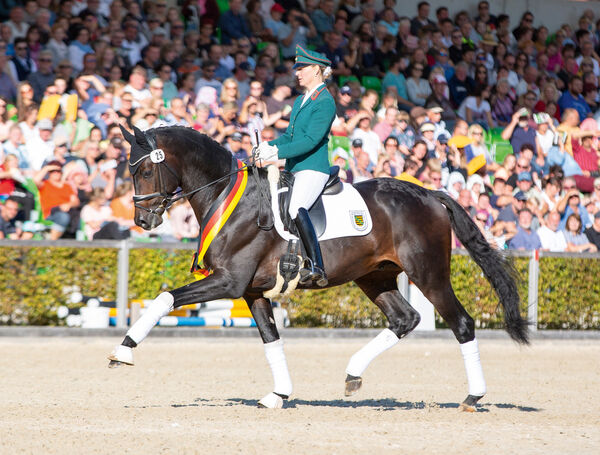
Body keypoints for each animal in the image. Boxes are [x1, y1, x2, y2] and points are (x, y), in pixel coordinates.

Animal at [109, 125, 528, 414]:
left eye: (144, 172)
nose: (142, 220)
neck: (228, 196)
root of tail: (429, 194)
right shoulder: (252, 291)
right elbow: (271, 340)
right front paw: (278, 395)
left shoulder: (229, 283)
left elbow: (165, 298)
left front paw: (122, 351)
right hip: (374, 277)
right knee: (404, 319)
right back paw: (353, 374)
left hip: (428, 274)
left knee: (462, 324)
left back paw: (473, 396)